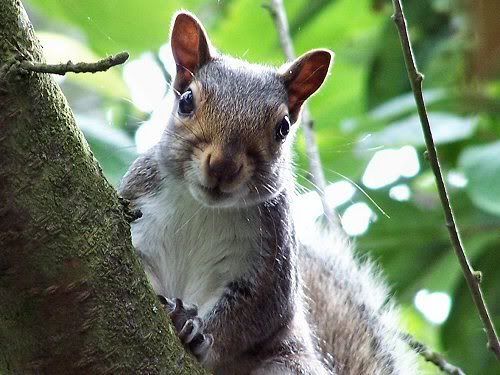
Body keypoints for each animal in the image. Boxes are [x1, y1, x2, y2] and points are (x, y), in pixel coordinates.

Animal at [120, 10, 418, 374]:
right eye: (186, 101)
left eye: (284, 127)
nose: (223, 166)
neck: (204, 208)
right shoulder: (139, 209)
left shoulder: (269, 265)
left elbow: (251, 315)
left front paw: (197, 331)